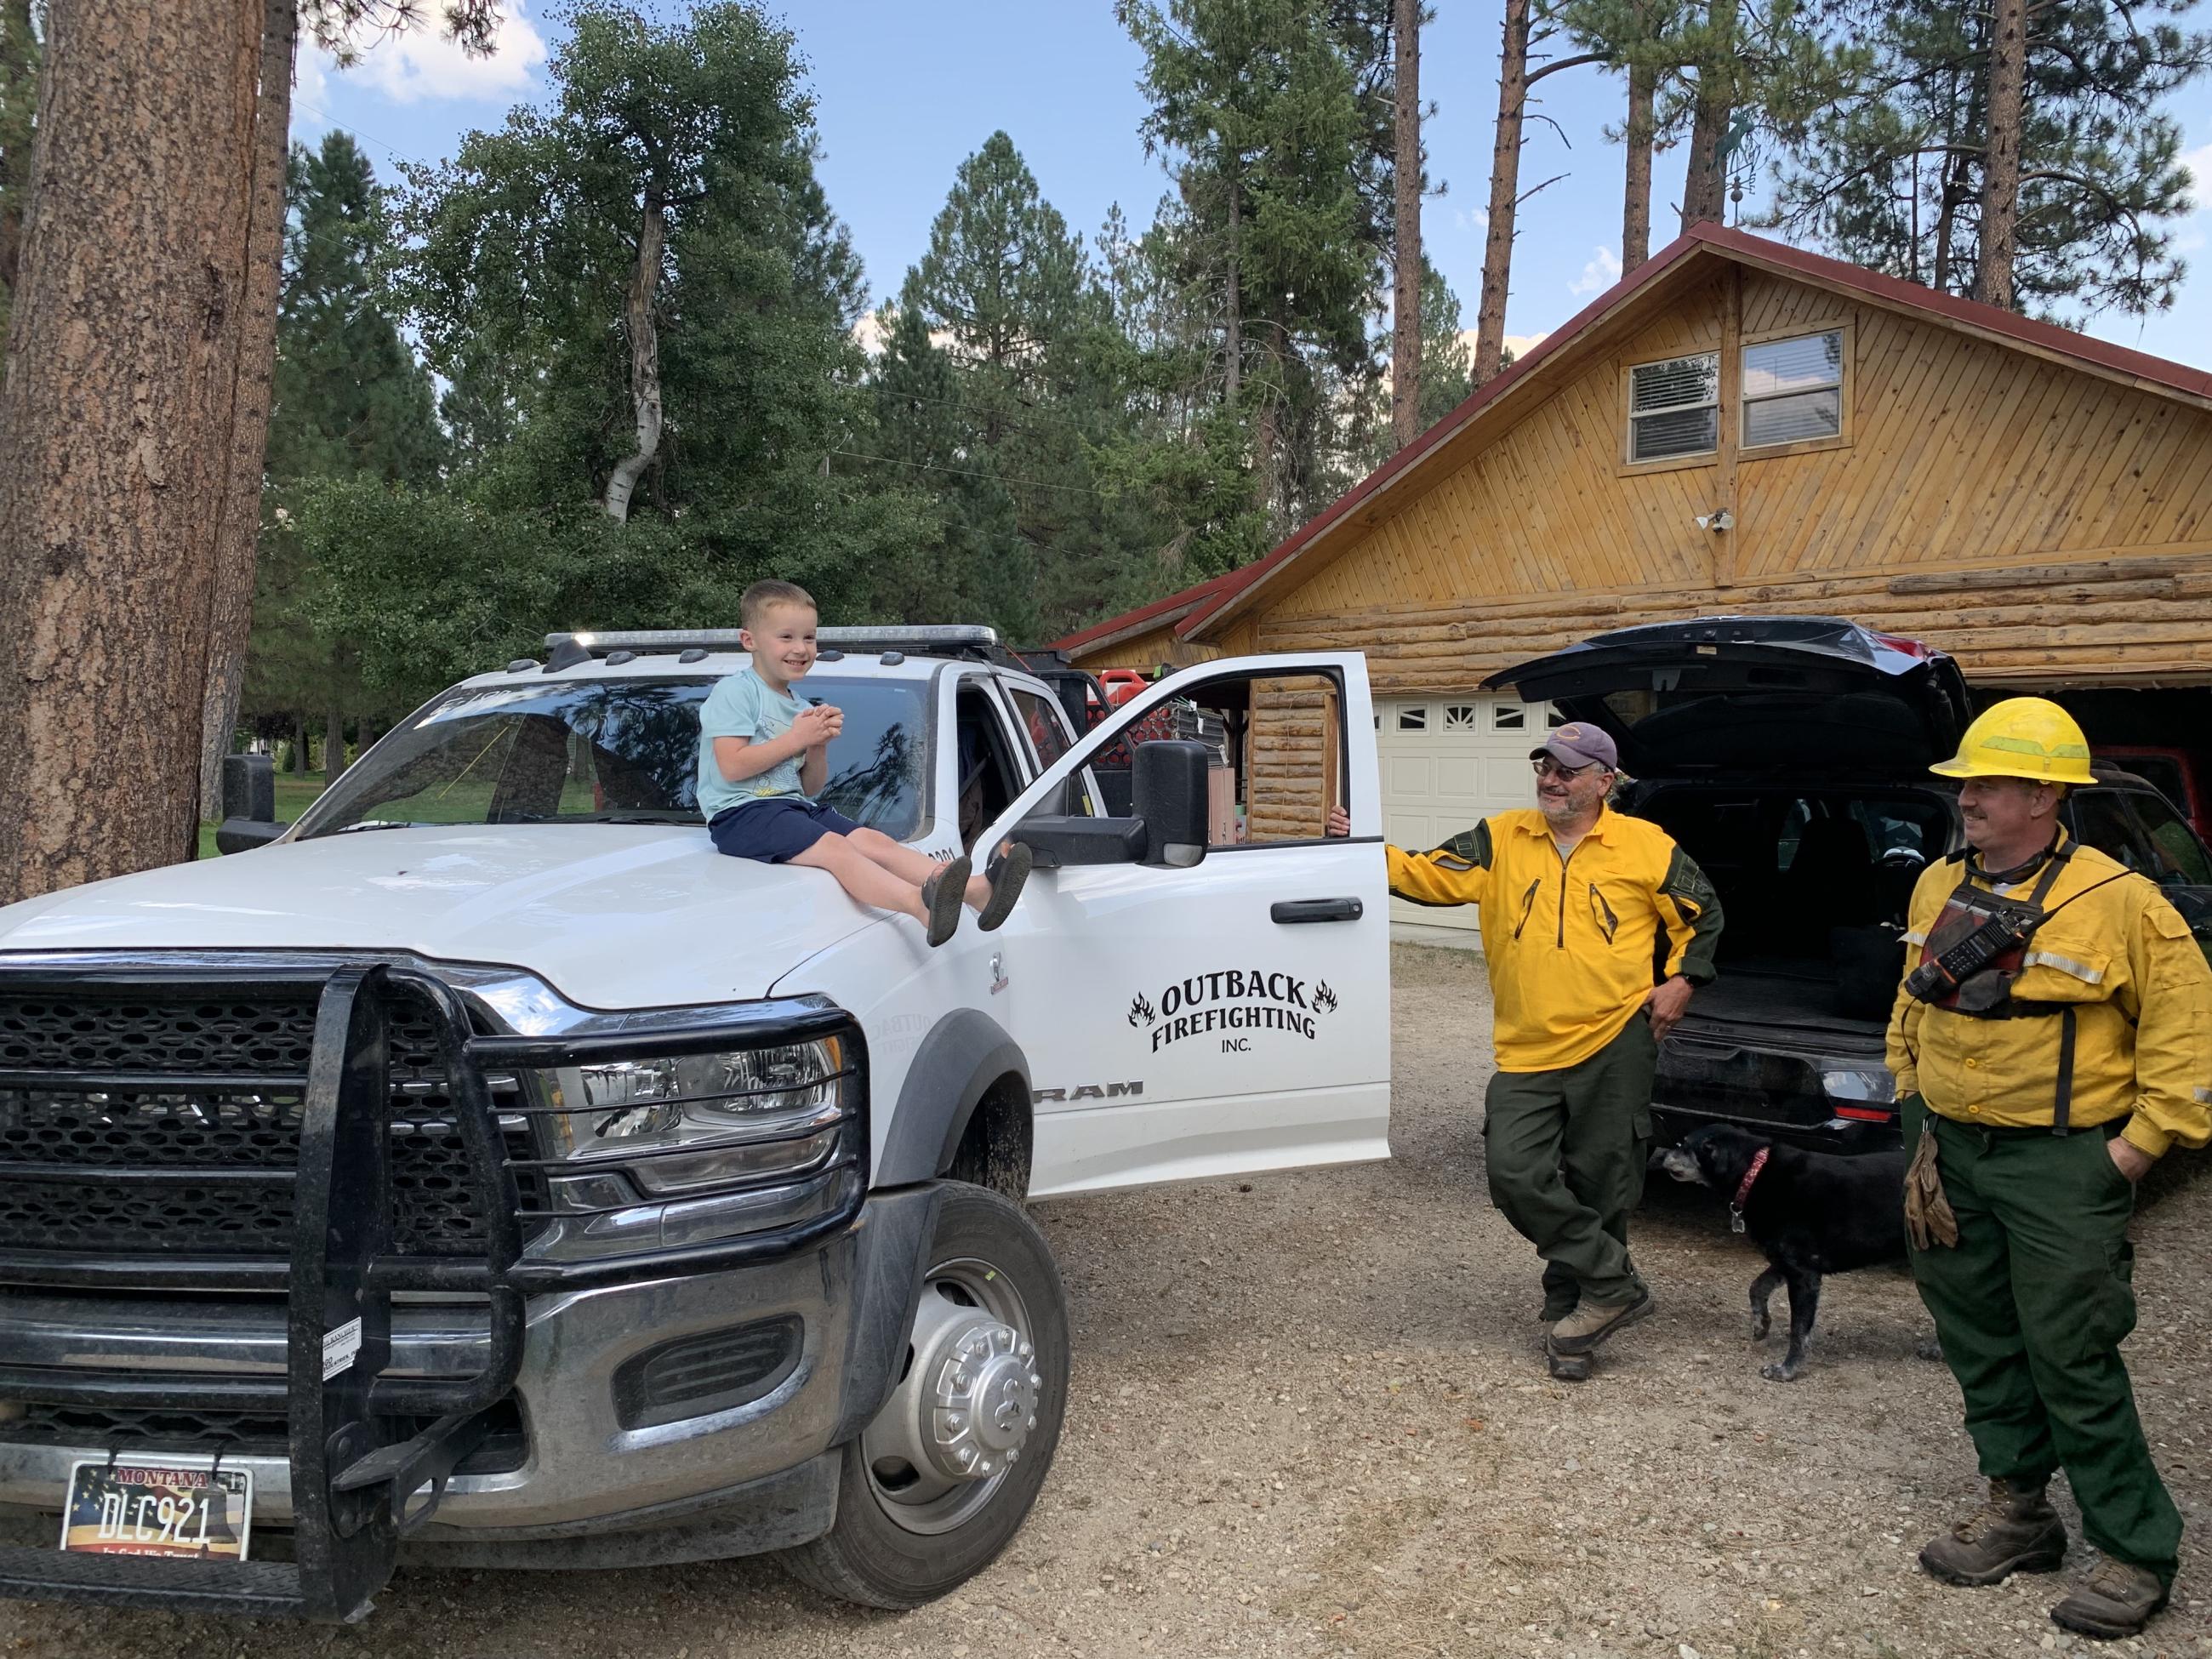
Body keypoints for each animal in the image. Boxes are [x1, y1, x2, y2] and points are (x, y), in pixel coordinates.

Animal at [1663, 1123, 1911, 1380]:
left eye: (1682, 1144)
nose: (1663, 1155)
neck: (1754, 1172)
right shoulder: (1784, 1263)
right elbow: (1756, 1287)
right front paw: (1761, 1325)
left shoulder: (1803, 1273)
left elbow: (1798, 1330)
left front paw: (1786, 1370)